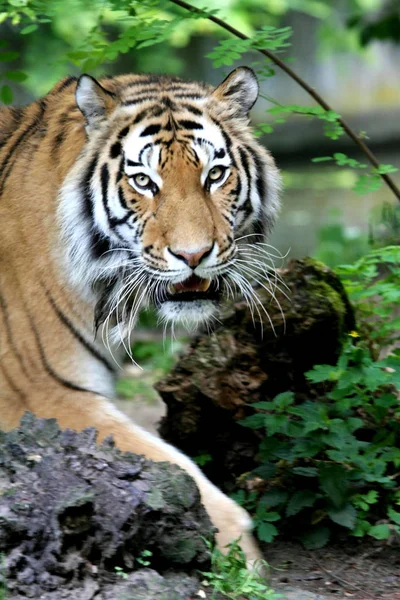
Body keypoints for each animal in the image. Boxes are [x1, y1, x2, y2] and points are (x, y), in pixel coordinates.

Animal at [0, 68, 282, 564]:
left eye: (215, 174)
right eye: (145, 181)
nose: (193, 255)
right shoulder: (39, 393)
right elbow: (169, 462)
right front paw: (241, 552)